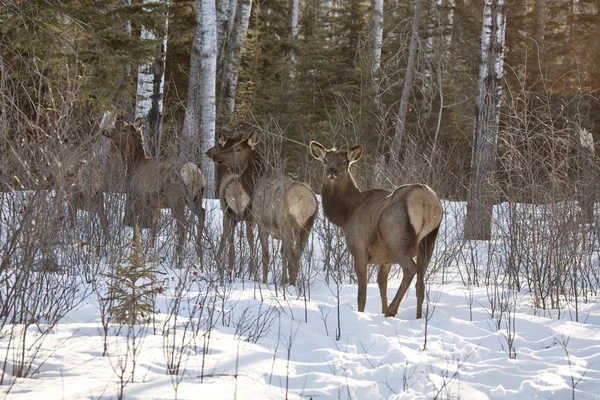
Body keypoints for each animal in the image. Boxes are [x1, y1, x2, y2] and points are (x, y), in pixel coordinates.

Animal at [103, 117, 206, 258]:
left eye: (123, 129)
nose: (105, 131)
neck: (135, 167)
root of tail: (195, 174)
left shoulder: (140, 196)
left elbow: (135, 222)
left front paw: (135, 249)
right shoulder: (155, 204)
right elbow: (153, 226)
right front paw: (151, 249)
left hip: (175, 197)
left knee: (184, 225)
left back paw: (178, 256)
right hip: (196, 198)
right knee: (202, 213)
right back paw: (199, 252)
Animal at [206, 133, 318, 286]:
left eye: (238, 149)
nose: (214, 155)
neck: (253, 185)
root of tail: (307, 200)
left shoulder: (260, 222)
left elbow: (265, 254)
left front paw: (263, 281)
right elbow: (279, 253)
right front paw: (279, 280)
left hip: (287, 223)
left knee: (292, 256)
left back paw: (290, 285)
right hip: (308, 224)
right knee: (297, 255)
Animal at [310, 141, 440, 318]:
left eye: (344, 162)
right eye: (325, 161)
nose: (331, 170)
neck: (346, 215)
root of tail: (426, 201)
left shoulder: (359, 248)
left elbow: (362, 291)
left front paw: (363, 313)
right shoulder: (385, 259)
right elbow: (381, 284)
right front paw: (382, 309)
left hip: (395, 238)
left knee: (410, 269)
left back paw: (392, 311)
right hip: (428, 240)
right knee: (420, 283)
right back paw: (418, 317)